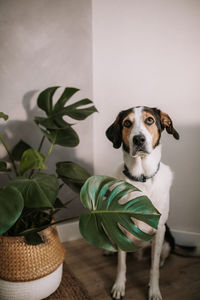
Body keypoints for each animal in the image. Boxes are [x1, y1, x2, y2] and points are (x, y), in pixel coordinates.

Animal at [106, 106, 180, 298]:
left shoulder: (159, 228)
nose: (138, 139)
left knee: (161, 256)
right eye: (127, 123)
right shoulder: (120, 227)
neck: (142, 178)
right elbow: (121, 265)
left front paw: (154, 291)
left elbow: (153, 268)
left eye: (150, 120)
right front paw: (119, 286)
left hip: (167, 239)